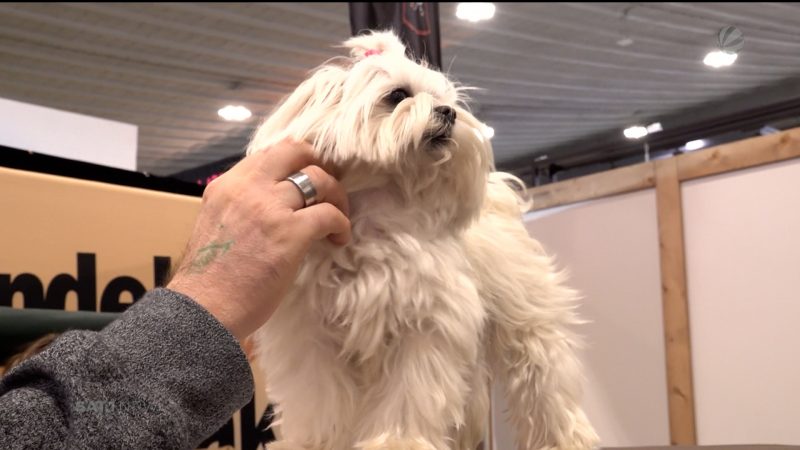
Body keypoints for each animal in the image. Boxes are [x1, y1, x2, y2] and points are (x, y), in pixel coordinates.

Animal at [247, 31, 596, 450]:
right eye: (398, 95)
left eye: (448, 100)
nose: (449, 112)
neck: (373, 214)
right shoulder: (312, 341)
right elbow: (323, 403)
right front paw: (318, 443)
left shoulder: (423, 328)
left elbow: (408, 396)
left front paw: (397, 442)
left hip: (528, 324)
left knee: (544, 382)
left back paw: (568, 437)